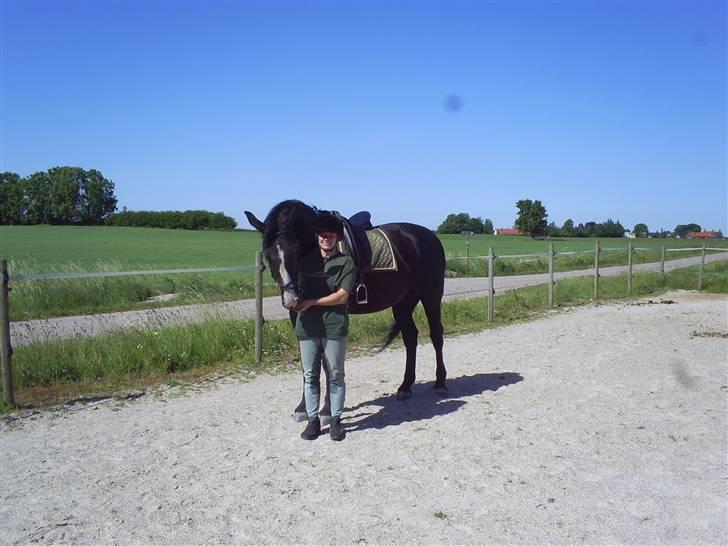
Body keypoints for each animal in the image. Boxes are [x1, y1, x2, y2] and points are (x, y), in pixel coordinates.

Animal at [245, 200, 446, 420]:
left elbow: (327, 362)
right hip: (401, 302)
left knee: (436, 335)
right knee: (410, 337)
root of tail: (430, 236)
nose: (292, 299)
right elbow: (308, 362)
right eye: (268, 255)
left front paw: (326, 409)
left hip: (431, 295)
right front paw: (302, 408)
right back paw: (405, 387)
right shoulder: (298, 316)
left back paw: (440, 383)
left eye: (297, 251)